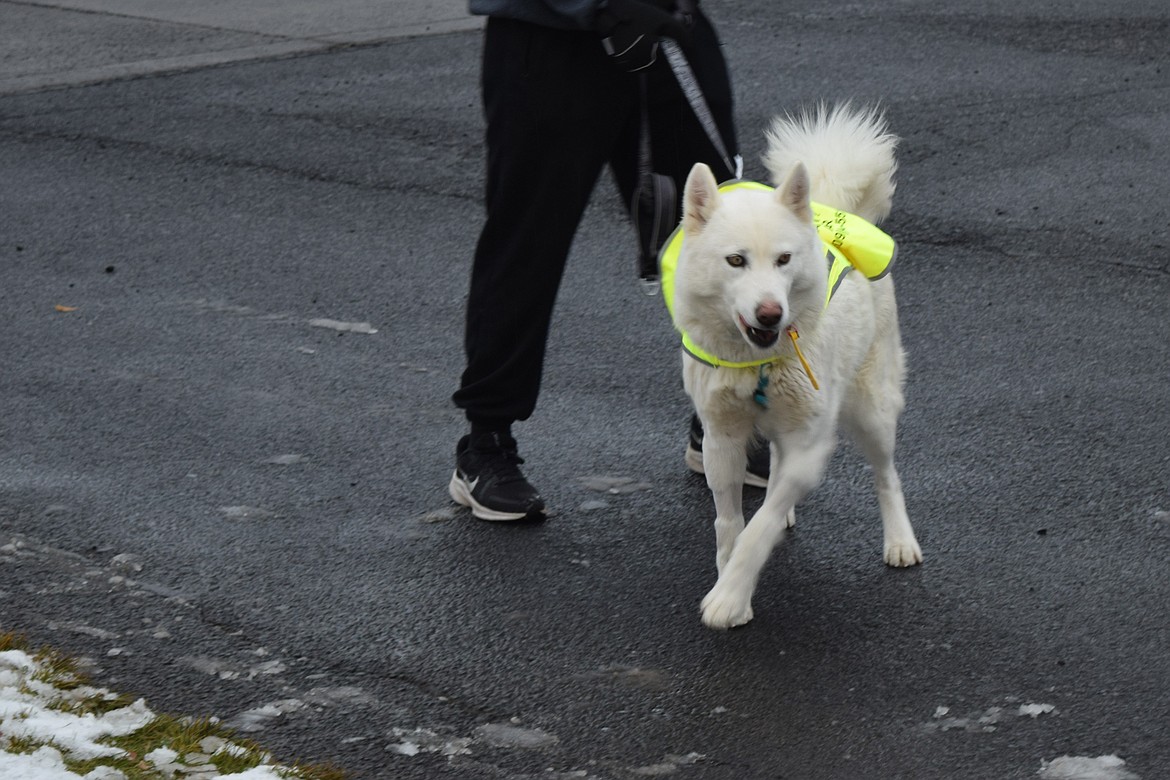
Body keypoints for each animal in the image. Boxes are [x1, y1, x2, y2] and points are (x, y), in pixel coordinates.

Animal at [669, 103, 921, 626]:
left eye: (784, 259)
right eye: (736, 261)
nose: (770, 313)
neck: (757, 363)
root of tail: (832, 208)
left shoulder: (811, 445)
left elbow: (757, 529)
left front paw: (730, 596)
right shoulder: (721, 439)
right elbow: (729, 522)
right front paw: (729, 577)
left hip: (870, 411)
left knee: (887, 475)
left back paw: (900, 541)